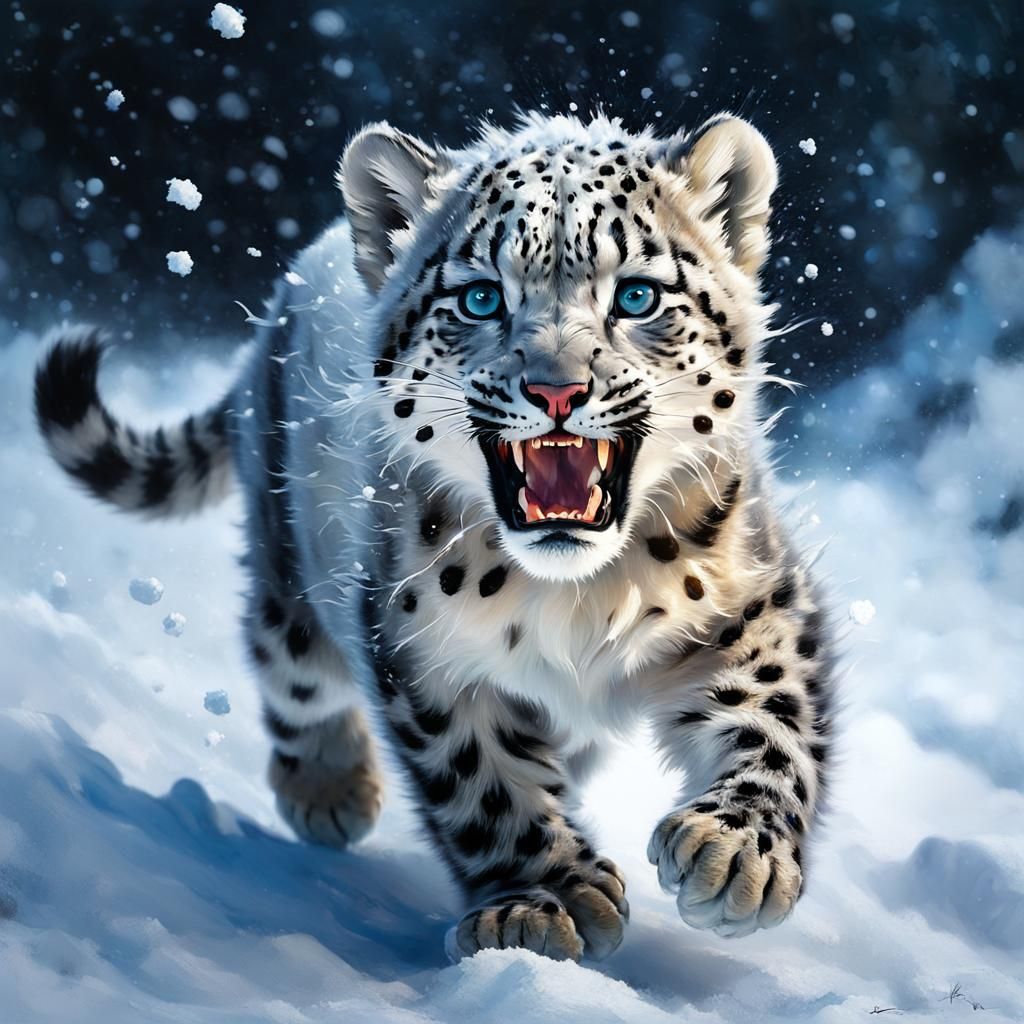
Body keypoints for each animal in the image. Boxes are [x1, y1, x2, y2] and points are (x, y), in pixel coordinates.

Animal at [35, 110, 836, 963]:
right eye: (481, 297)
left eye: (638, 294)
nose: (557, 389)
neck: (578, 596)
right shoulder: (423, 647)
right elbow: (481, 782)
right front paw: (544, 899)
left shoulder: (754, 598)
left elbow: (775, 717)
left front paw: (736, 853)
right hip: (290, 568)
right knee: (288, 662)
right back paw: (328, 790)